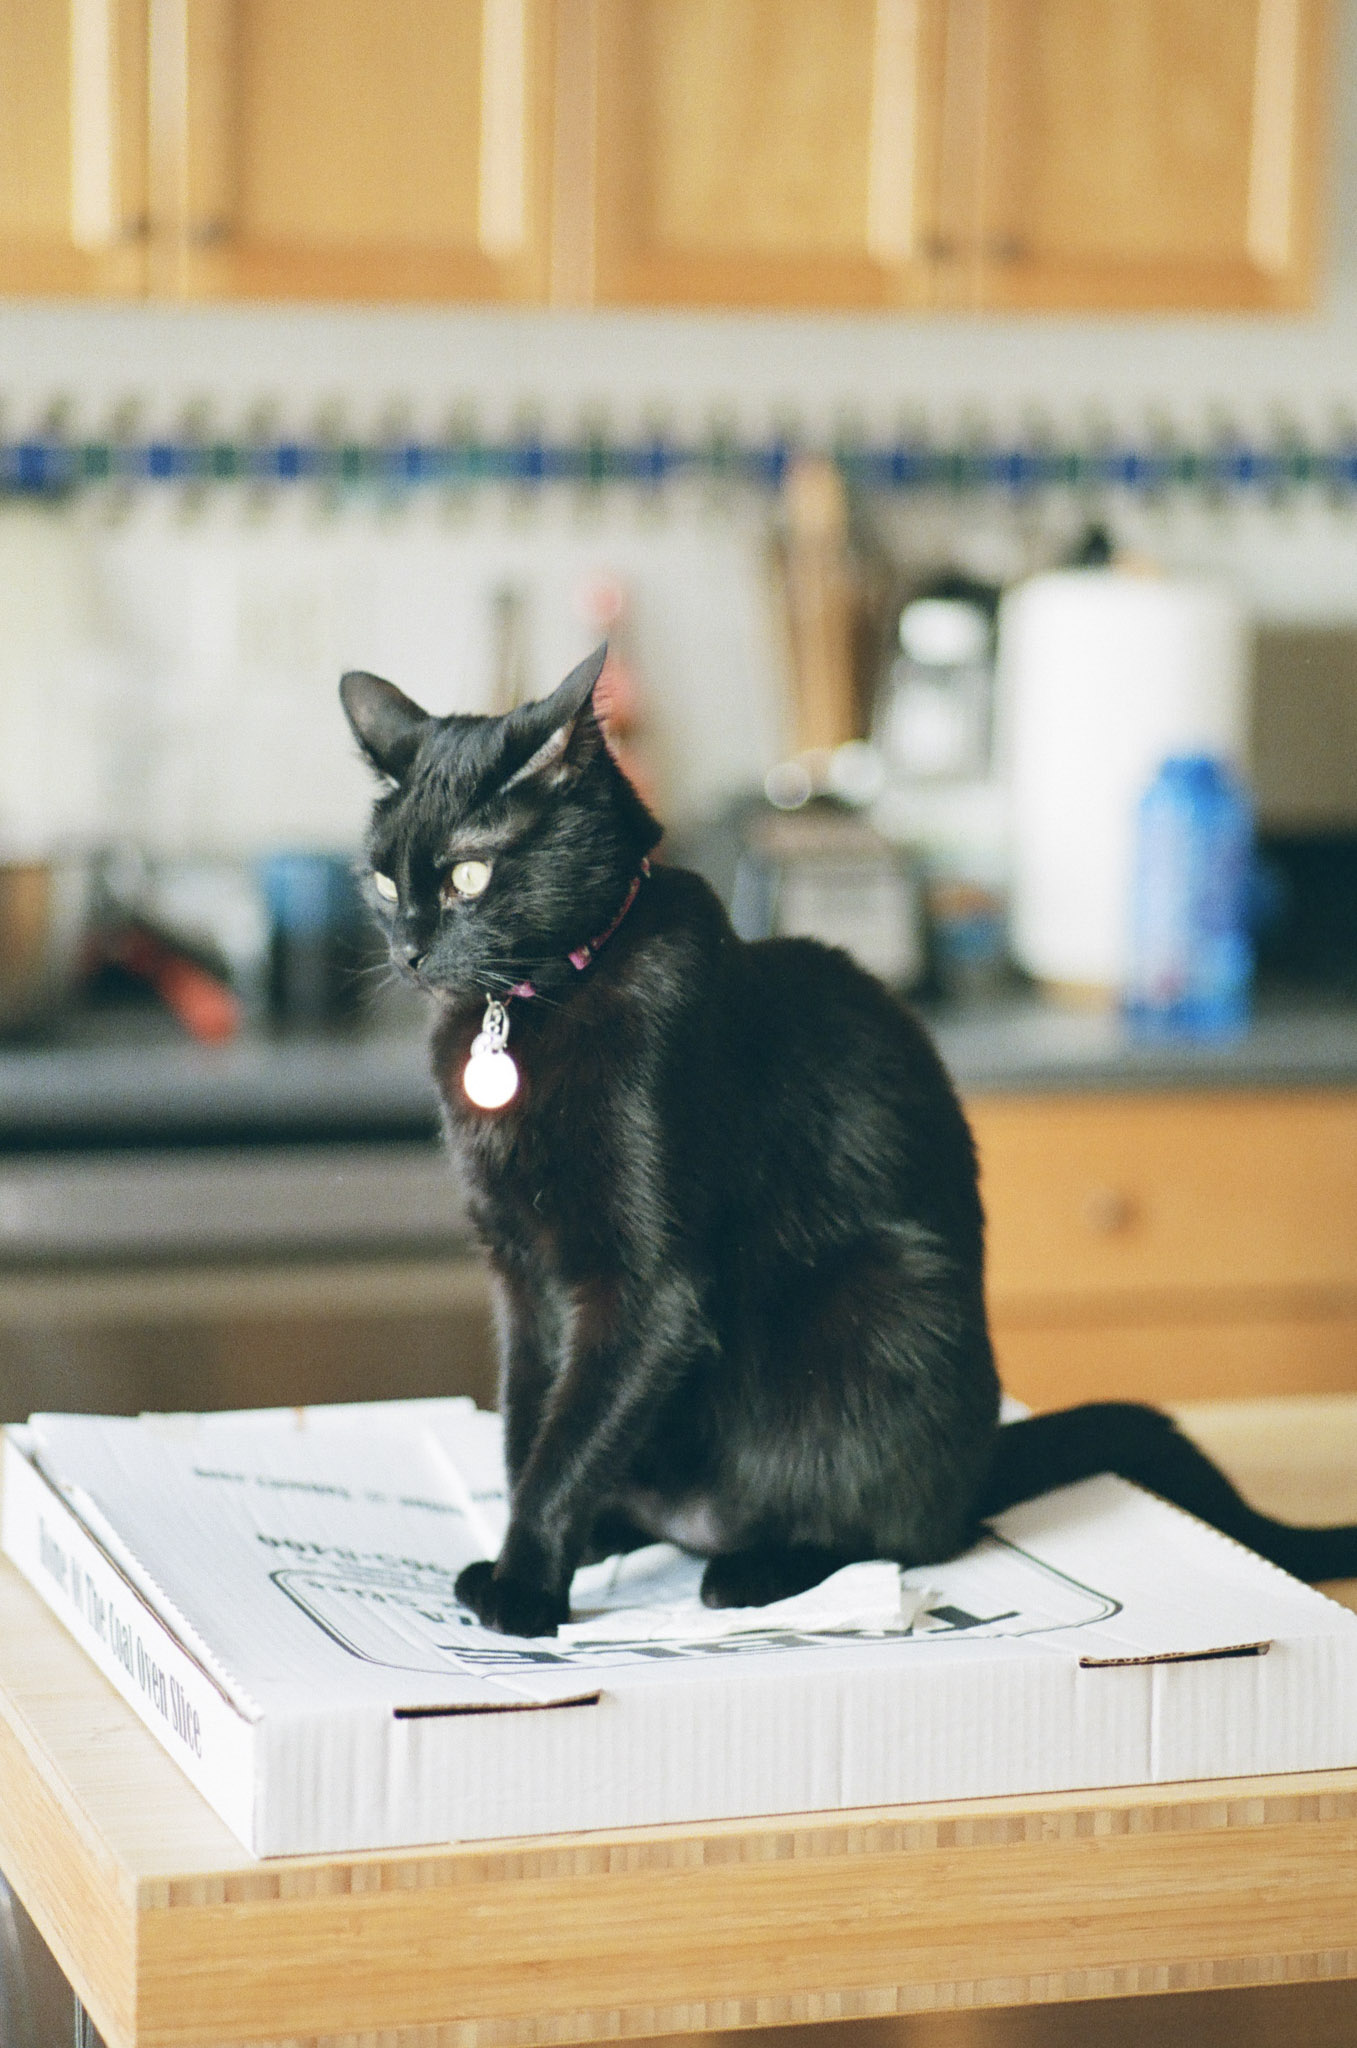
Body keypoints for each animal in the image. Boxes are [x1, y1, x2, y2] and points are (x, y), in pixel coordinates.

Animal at [339, 647, 1357, 1638]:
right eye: (384, 880)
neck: (531, 1010)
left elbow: (571, 1440)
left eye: (469, 875)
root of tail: (980, 1460)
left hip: (884, 1306)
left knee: (905, 1532)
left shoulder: (648, 1287)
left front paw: (523, 1586)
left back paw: (752, 1571)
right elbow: (530, 1424)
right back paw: (628, 1532)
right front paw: (536, 1556)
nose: (412, 950)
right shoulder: (519, 1271)